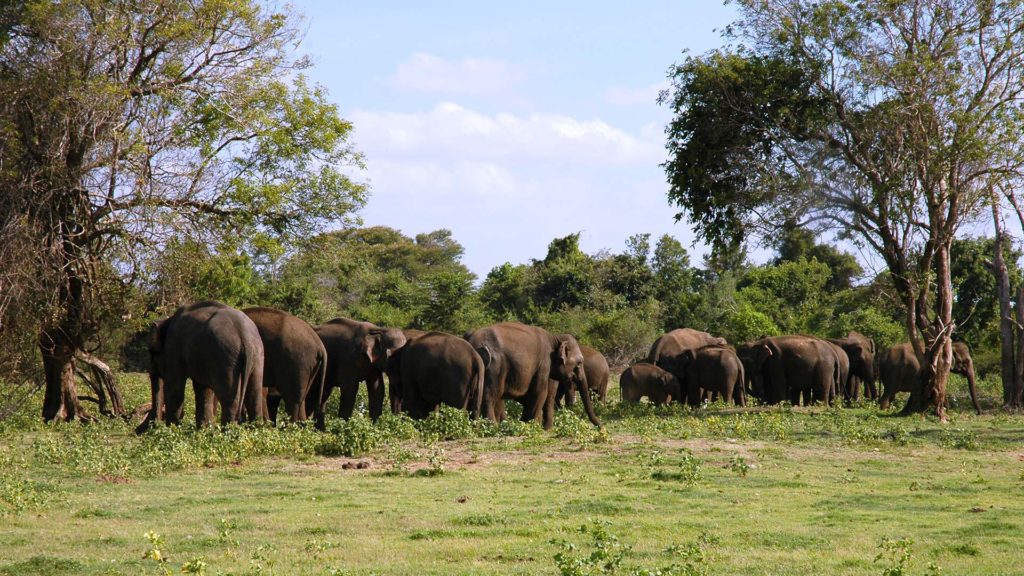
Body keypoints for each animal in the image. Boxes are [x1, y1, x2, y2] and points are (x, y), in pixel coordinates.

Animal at [136, 301, 264, 430]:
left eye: (151, 351)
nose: (136, 430)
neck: (167, 321)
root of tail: (245, 337)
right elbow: (203, 389)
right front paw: (204, 430)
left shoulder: (173, 350)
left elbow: (175, 389)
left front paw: (172, 429)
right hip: (257, 355)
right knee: (254, 395)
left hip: (225, 358)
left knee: (229, 399)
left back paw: (228, 431)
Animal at [464, 319, 598, 428]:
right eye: (579, 362)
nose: (600, 426)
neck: (554, 338)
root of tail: (471, 339)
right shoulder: (543, 364)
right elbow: (540, 392)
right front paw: (528, 426)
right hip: (495, 368)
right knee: (490, 396)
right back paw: (492, 427)